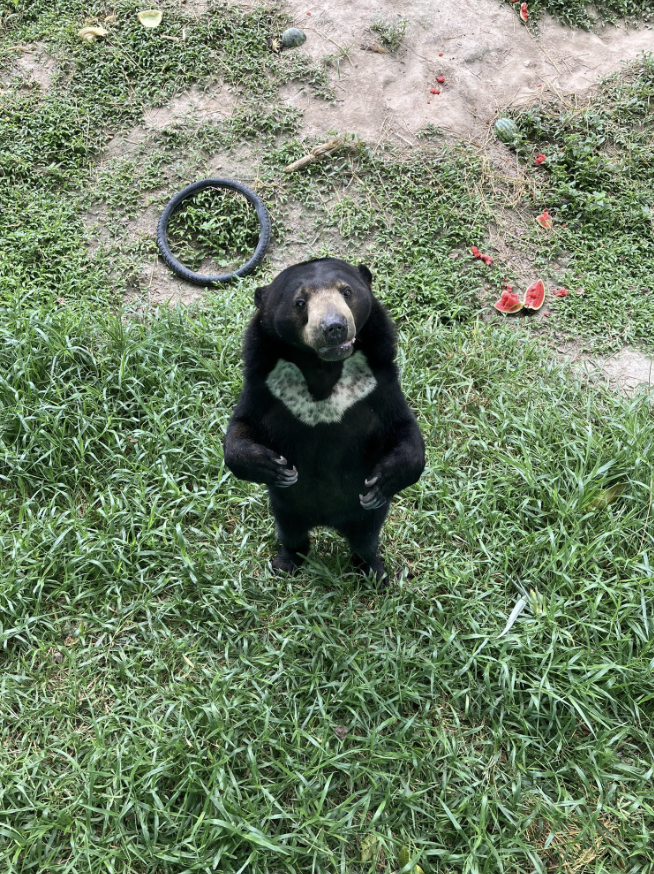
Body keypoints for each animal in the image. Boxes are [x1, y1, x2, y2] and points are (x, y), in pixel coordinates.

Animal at [226, 258, 428, 584]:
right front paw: (274, 467)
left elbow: (404, 430)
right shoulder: (262, 385)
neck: (322, 367)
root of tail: (327, 520)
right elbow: (241, 428)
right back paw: (285, 563)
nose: (334, 327)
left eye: (346, 291)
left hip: (362, 518)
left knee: (365, 539)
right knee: (291, 534)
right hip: (287, 506)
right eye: (300, 302)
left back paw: (374, 572)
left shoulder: (380, 384)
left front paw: (381, 481)